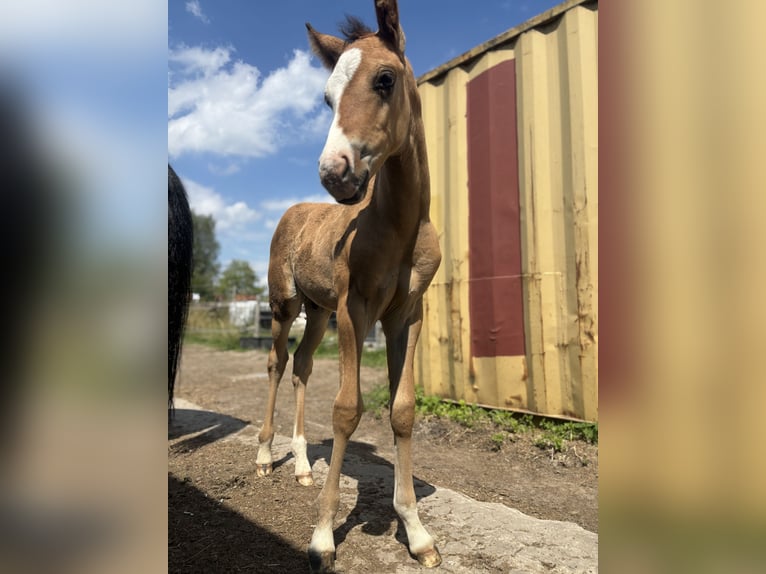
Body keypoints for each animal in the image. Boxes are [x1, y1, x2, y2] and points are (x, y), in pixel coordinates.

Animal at [255, 1, 442, 570]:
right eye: (326, 97)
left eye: (385, 79)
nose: (334, 172)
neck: (398, 225)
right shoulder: (354, 311)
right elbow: (345, 411)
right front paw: (322, 536)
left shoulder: (406, 315)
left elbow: (401, 410)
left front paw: (416, 532)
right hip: (284, 303)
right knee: (276, 363)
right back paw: (263, 454)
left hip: (317, 312)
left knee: (301, 366)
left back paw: (299, 464)